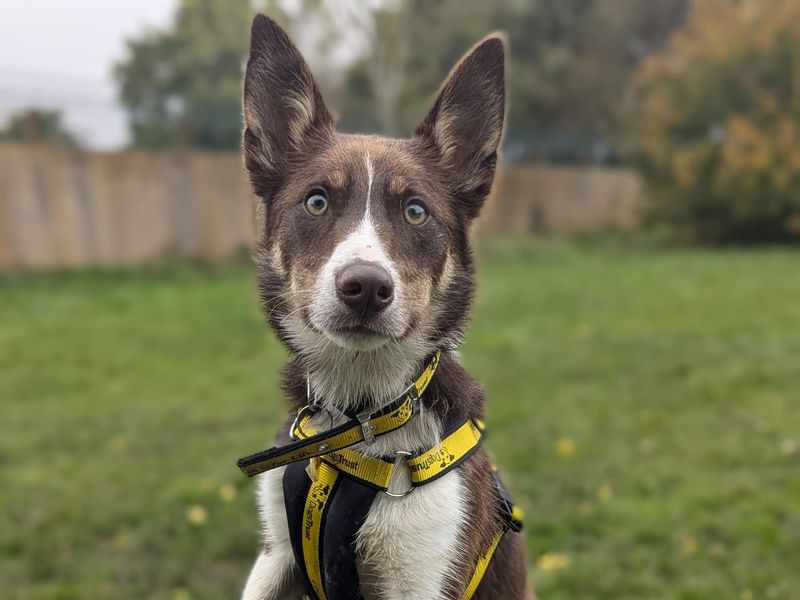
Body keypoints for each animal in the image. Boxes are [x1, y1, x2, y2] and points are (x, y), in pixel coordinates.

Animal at [241, 14, 536, 600]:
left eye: (416, 211)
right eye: (316, 201)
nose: (366, 287)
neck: (358, 419)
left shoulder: (424, 574)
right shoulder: (275, 555)